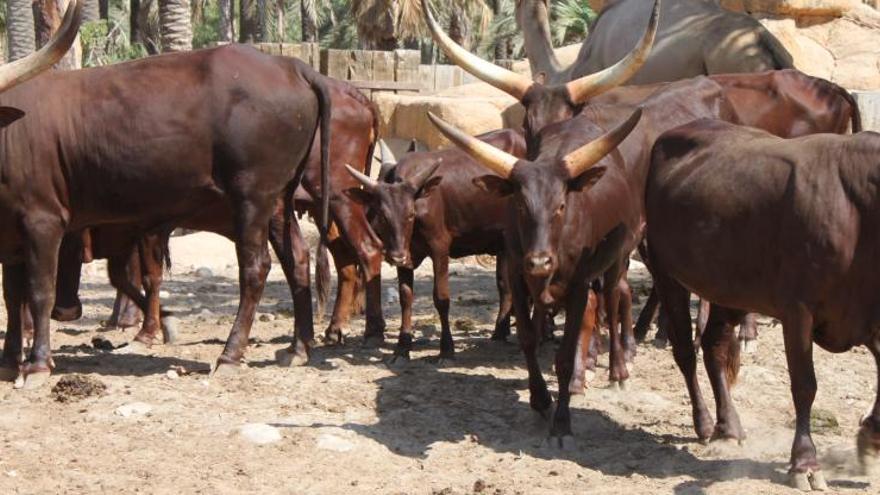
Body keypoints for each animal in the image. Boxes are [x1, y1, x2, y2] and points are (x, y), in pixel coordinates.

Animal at [0, 33, 336, 388]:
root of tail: (290, 65)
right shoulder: (9, 234)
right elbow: (12, 296)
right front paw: (9, 362)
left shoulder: (43, 222)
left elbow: (39, 292)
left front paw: (37, 365)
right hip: (279, 200)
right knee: (296, 258)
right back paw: (298, 348)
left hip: (253, 195)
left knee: (255, 268)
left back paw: (230, 355)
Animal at [340, 130, 524, 362]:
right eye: (382, 215)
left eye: (410, 214)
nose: (395, 256)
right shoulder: (407, 256)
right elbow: (405, 297)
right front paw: (402, 346)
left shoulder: (440, 248)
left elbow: (441, 298)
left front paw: (446, 348)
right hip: (502, 244)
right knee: (505, 285)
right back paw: (500, 332)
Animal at [644, 118, 880, 490]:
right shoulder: (798, 310)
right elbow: (804, 385)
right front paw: (804, 463)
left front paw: (870, 439)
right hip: (666, 273)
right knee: (685, 351)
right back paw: (705, 423)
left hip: (728, 286)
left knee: (714, 345)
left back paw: (729, 425)